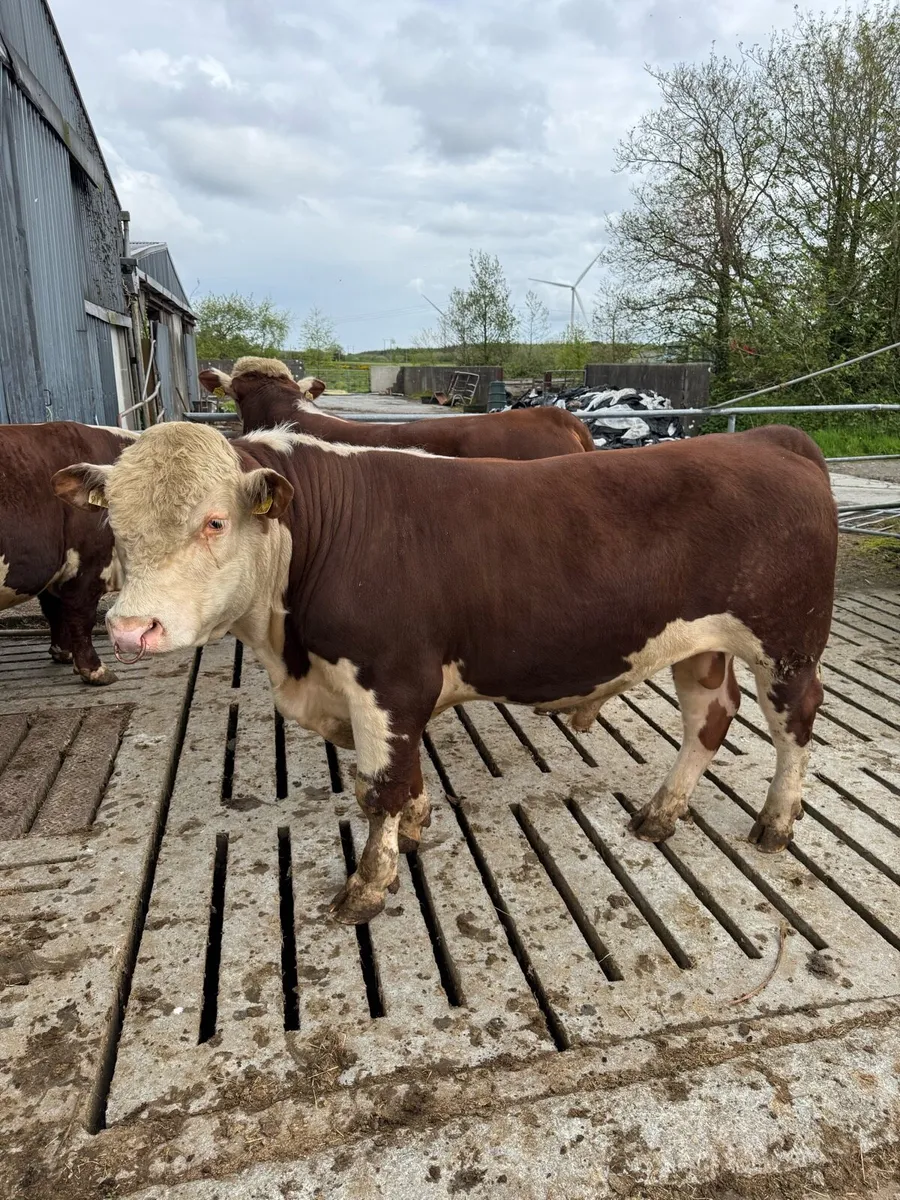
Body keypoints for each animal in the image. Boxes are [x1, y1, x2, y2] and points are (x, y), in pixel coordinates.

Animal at [54, 421, 837, 923]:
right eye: (114, 523)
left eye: (215, 521)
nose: (131, 629)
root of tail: (769, 438)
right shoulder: (387, 693)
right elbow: (403, 776)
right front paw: (417, 823)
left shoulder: (391, 680)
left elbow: (379, 788)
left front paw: (367, 888)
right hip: (702, 642)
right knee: (709, 715)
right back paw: (661, 812)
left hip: (787, 644)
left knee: (793, 724)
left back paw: (775, 823)